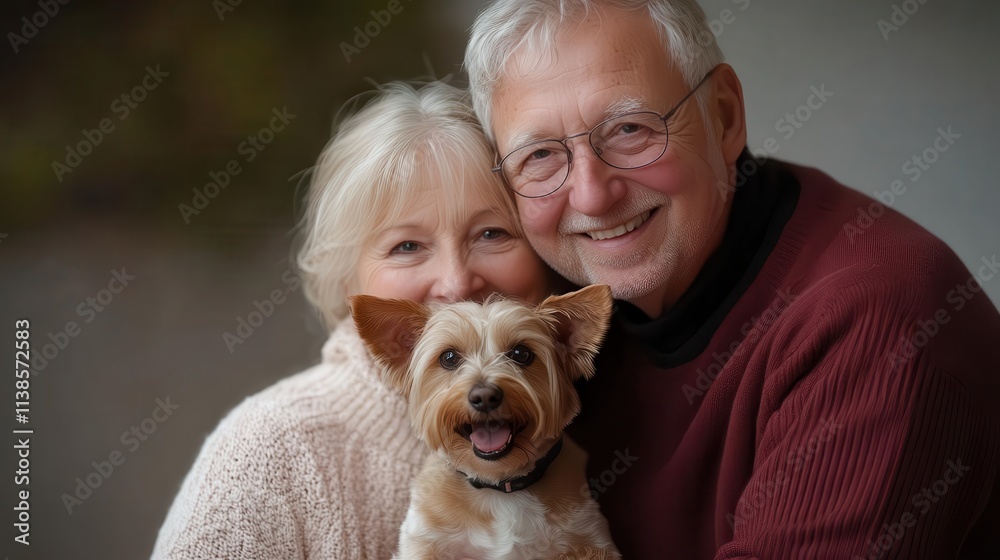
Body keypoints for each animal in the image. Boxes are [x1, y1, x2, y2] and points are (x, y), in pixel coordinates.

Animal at [350, 286, 616, 556]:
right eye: (448, 357)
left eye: (521, 353)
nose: (485, 397)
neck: (499, 487)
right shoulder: (424, 540)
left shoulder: (589, 537)